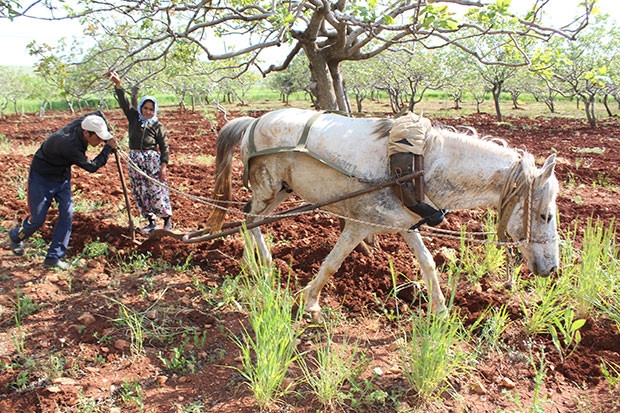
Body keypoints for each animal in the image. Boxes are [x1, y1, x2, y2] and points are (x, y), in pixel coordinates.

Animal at [206, 108, 560, 316]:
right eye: (546, 216)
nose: (552, 268)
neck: (419, 165)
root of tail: (253, 121)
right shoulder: (358, 225)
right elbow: (331, 264)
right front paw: (311, 303)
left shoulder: (407, 224)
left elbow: (428, 264)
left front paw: (441, 310)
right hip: (268, 186)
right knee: (249, 220)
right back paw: (262, 264)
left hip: (279, 190)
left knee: (249, 218)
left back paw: (254, 265)